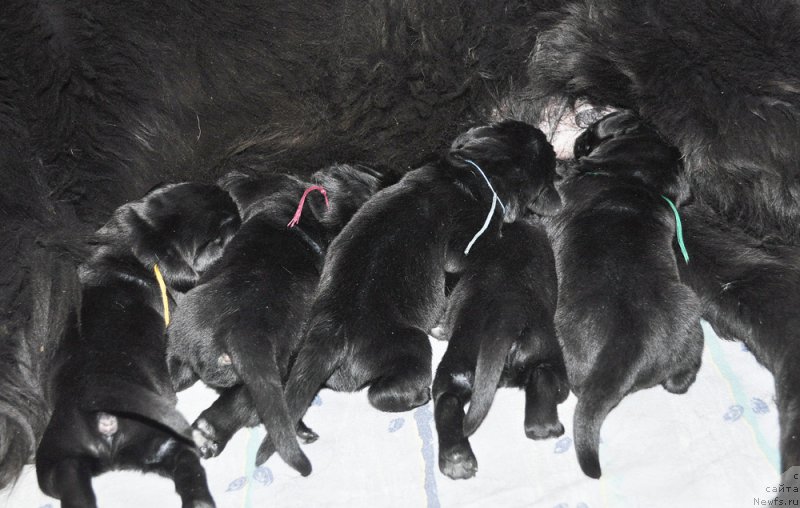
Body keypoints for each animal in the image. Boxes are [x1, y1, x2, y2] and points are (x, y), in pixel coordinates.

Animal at [35, 183, 241, 508]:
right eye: (216, 239)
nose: (232, 202)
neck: (129, 252)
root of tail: (103, 417)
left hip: (58, 463)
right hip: (162, 435)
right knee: (189, 469)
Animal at [260, 119, 560, 468]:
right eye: (549, 159)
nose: (552, 144)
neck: (476, 171)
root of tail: (332, 331)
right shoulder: (465, 242)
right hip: (409, 344)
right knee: (379, 394)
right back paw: (419, 394)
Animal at [432, 215, 568, 480]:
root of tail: (504, 315)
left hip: (459, 360)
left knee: (447, 399)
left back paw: (457, 459)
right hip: (547, 353)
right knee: (543, 378)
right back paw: (545, 429)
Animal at [552, 112, 708, 480]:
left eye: (591, 134)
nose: (577, 139)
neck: (635, 180)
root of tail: (630, 344)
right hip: (690, 316)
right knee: (684, 373)